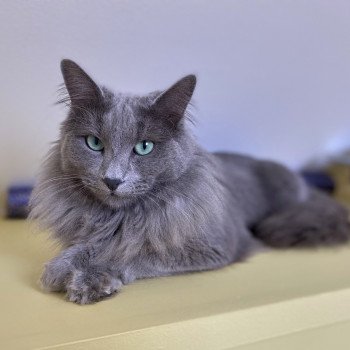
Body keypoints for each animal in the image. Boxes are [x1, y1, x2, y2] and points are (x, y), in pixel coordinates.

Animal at [29, 60, 350, 304]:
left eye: (144, 147)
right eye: (94, 143)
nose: (112, 179)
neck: (122, 217)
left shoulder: (213, 245)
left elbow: (135, 251)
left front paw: (89, 279)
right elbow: (90, 245)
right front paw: (60, 267)